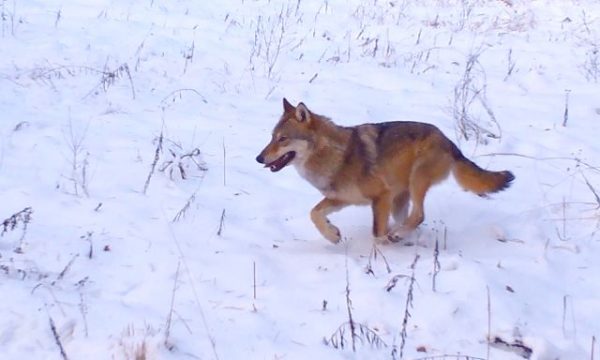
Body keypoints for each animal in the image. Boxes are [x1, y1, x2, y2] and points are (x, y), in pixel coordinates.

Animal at [255, 98, 512, 243]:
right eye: (272, 137)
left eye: (283, 139)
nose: (259, 158)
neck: (336, 156)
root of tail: (449, 141)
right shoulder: (341, 199)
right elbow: (314, 214)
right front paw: (333, 234)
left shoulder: (381, 196)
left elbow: (377, 233)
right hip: (400, 199)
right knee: (412, 220)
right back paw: (406, 236)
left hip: (415, 183)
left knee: (419, 215)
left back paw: (399, 235)